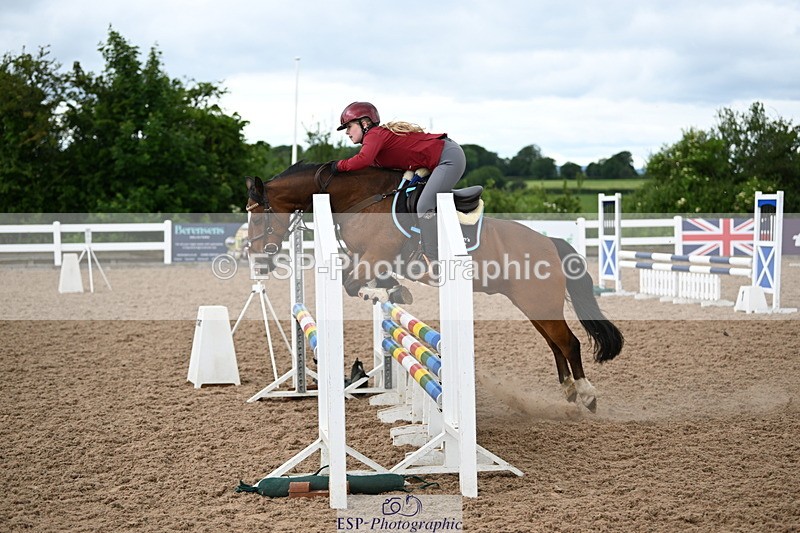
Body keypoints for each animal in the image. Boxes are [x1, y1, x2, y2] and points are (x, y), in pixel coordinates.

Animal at [245, 162, 624, 412]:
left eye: (258, 214)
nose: (256, 258)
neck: (360, 198)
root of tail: (550, 243)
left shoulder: (375, 255)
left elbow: (353, 284)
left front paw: (381, 293)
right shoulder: (370, 259)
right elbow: (359, 281)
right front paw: (393, 292)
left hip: (539, 303)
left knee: (569, 342)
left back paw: (587, 395)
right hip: (533, 306)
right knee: (555, 344)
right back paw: (570, 391)